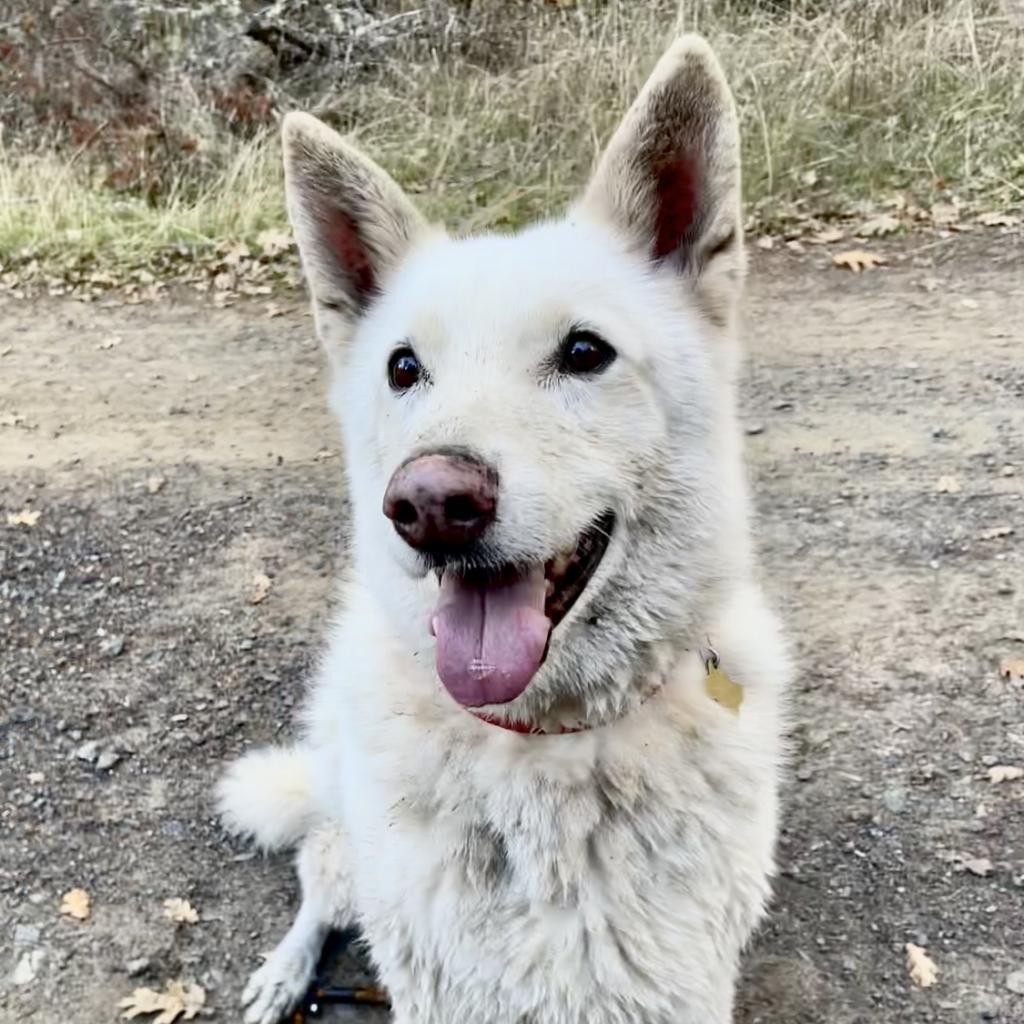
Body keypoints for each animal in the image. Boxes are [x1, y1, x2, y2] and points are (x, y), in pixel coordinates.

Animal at [218, 36, 790, 1024]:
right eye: (405, 368)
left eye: (585, 351)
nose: (429, 504)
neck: (546, 742)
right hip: (348, 844)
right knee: (318, 877)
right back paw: (283, 972)